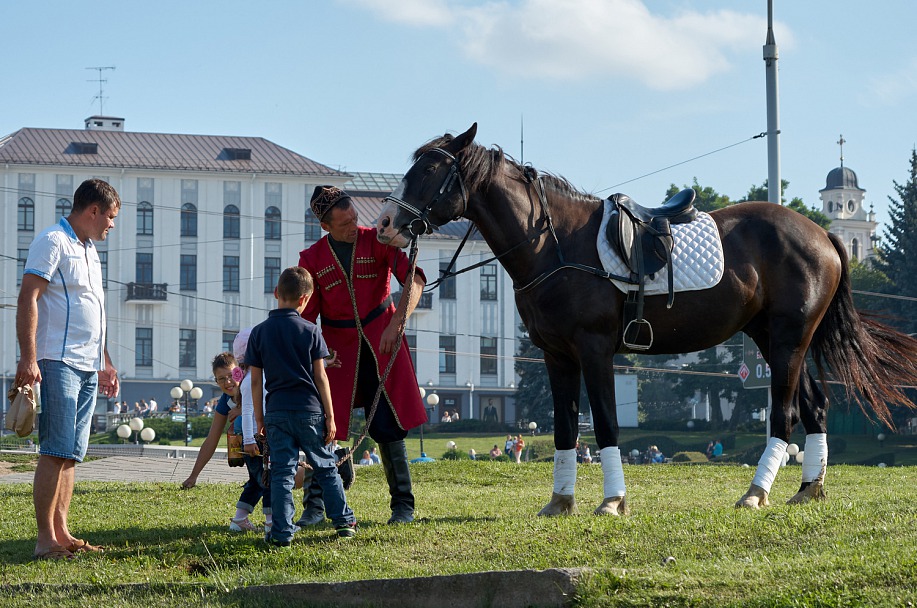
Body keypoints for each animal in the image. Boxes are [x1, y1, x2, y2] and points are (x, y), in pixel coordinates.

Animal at [374, 126, 916, 516]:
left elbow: (606, 424)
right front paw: (561, 501)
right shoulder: (557, 357)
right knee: (816, 406)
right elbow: (565, 428)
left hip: (788, 341)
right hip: (777, 340)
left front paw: (612, 501)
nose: (385, 225)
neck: (554, 245)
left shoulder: (595, 350)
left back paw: (755, 493)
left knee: (783, 415)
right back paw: (808, 489)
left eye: (430, 169)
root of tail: (823, 235)